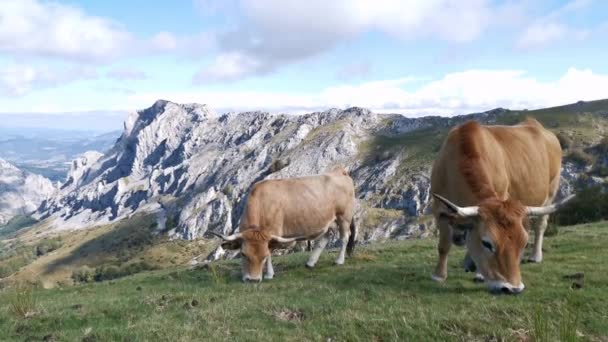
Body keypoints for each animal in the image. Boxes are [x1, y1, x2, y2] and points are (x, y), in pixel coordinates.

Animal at [213, 166, 358, 284]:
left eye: (263, 256)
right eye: (243, 254)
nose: (252, 280)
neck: (262, 202)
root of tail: (339, 171)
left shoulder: (273, 232)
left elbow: (271, 253)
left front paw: (269, 274)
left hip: (344, 217)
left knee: (344, 237)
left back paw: (339, 260)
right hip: (328, 221)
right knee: (324, 239)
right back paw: (310, 263)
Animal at [430, 118, 572, 294]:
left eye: (523, 243)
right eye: (487, 243)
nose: (512, 288)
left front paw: (479, 274)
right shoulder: (439, 208)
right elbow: (443, 246)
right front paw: (439, 275)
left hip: (551, 192)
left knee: (540, 225)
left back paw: (535, 256)